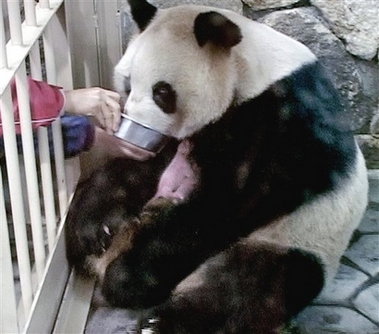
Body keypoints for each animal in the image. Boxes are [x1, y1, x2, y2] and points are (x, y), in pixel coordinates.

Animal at [64, 1, 368, 332]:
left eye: (162, 92)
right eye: (128, 83)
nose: (134, 124)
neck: (251, 75)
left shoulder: (289, 124)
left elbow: (225, 206)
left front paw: (128, 277)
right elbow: (136, 172)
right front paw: (93, 229)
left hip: (295, 240)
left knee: (249, 286)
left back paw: (159, 321)